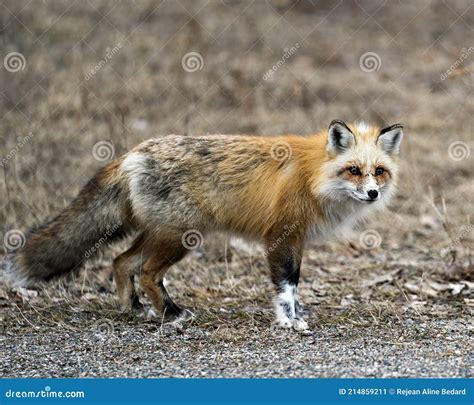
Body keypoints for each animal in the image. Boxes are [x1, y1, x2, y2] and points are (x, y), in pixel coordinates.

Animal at [5, 119, 402, 328]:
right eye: (354, 170)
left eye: (379, 172)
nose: (372, 194)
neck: (312, 176)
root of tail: (131, 153)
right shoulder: (280, 237)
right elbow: (286, 285)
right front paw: (289, 322)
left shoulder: (297, 240)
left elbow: (294, 283)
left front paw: (296, 316)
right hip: (181, 238)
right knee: (147, 272)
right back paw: (171, 313)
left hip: (160, 235)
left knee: (121, 263)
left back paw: (134, 308)